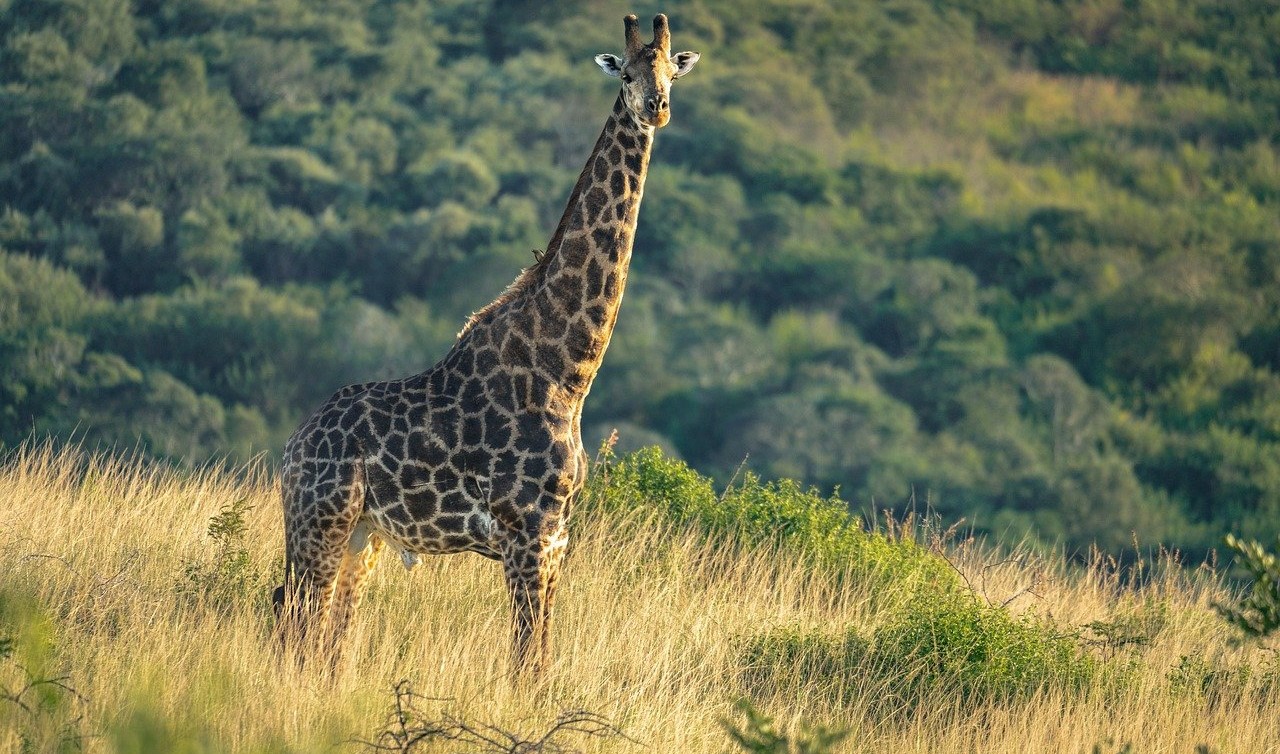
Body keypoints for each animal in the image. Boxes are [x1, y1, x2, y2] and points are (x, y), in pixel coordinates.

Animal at [273, 13, 699, 677]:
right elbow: (526, 663)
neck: (568, 370)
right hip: (321, 522)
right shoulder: (527, 534)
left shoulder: (557, 539)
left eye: (669, 74)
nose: (656, 108)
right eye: (626, 74)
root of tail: (292, 447)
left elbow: (539, 657)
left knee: (324, 636)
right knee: (296, 623)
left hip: (363, 537)